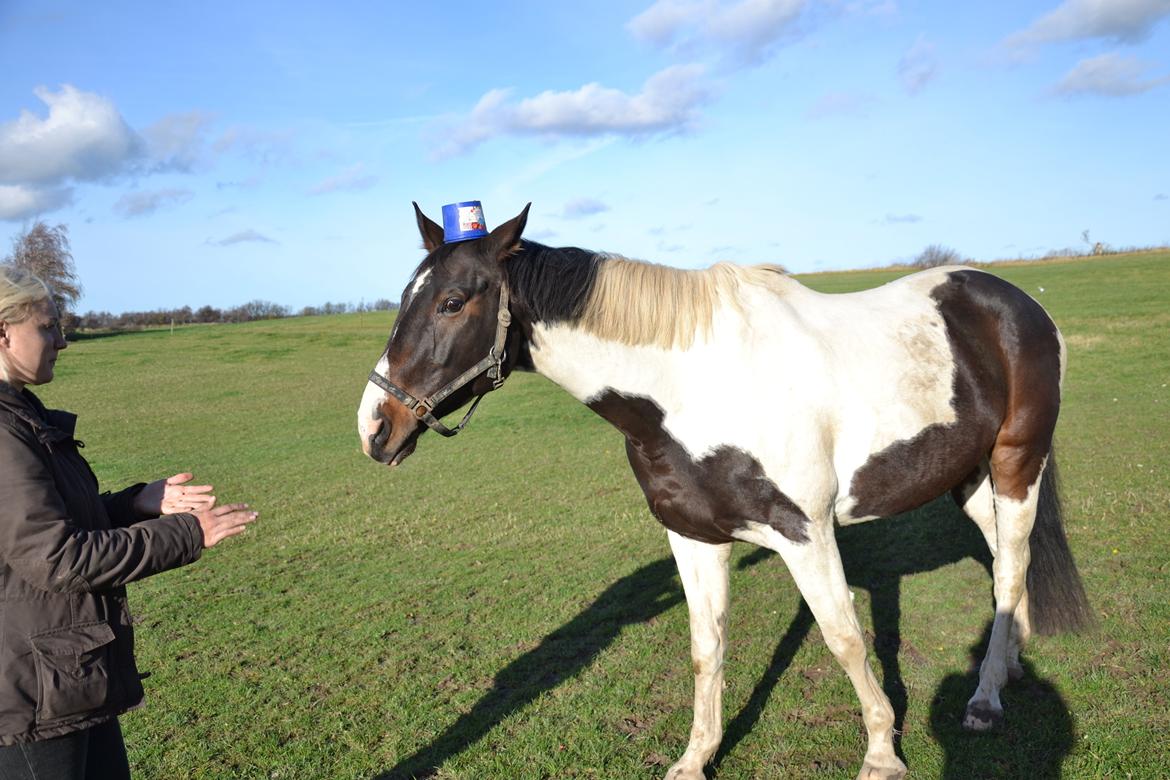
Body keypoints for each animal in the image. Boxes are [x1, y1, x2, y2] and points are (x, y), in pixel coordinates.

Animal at [355, 204, 1085, 776]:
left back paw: (985, 700)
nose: (375, 428)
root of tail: (1020, 304)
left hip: (1017, 464)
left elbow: (844, 636)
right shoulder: (693, 536)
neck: (691, 389)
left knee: (1012, 568)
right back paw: (1008, 666)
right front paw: (695, 758)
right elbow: (706, 648)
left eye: (453, 302)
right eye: (404, 298)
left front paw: (882, 754)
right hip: (970, 479)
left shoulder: (805, 531)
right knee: (1005, 564)